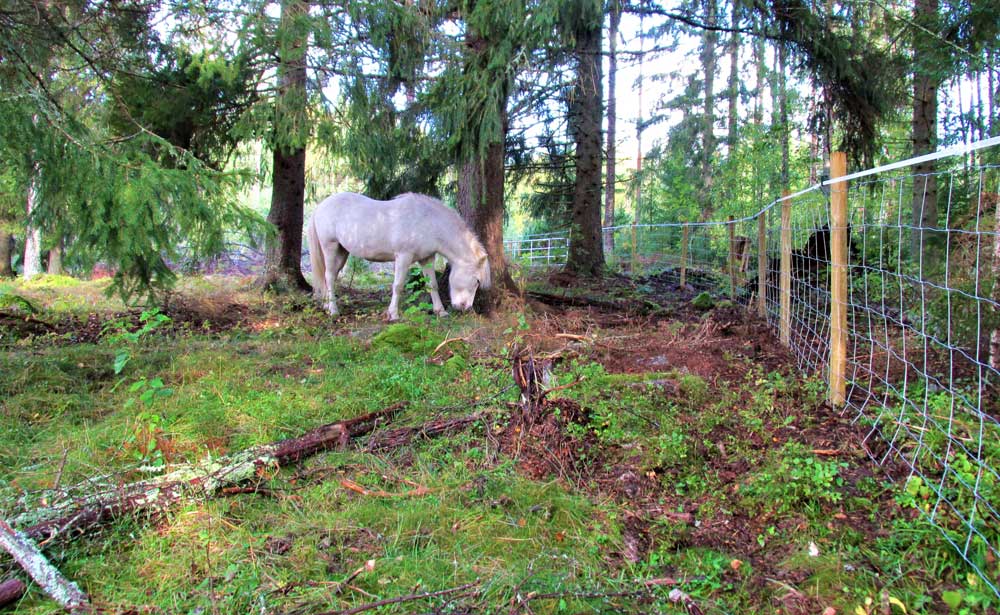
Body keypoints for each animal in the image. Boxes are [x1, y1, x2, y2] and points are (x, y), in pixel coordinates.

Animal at [306, 191, 490, 322]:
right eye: (476, 281)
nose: (465, 307)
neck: (428, 221)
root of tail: (321, 206)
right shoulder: (403, 257)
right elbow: (398, 285)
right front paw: (393, 314)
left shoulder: (427, 258)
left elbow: (432, 285)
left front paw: (441, 312)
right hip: (330, 247)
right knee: (329, 277)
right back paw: (334, 311)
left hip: (342, 252)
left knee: (329, 277)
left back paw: (326, 305)